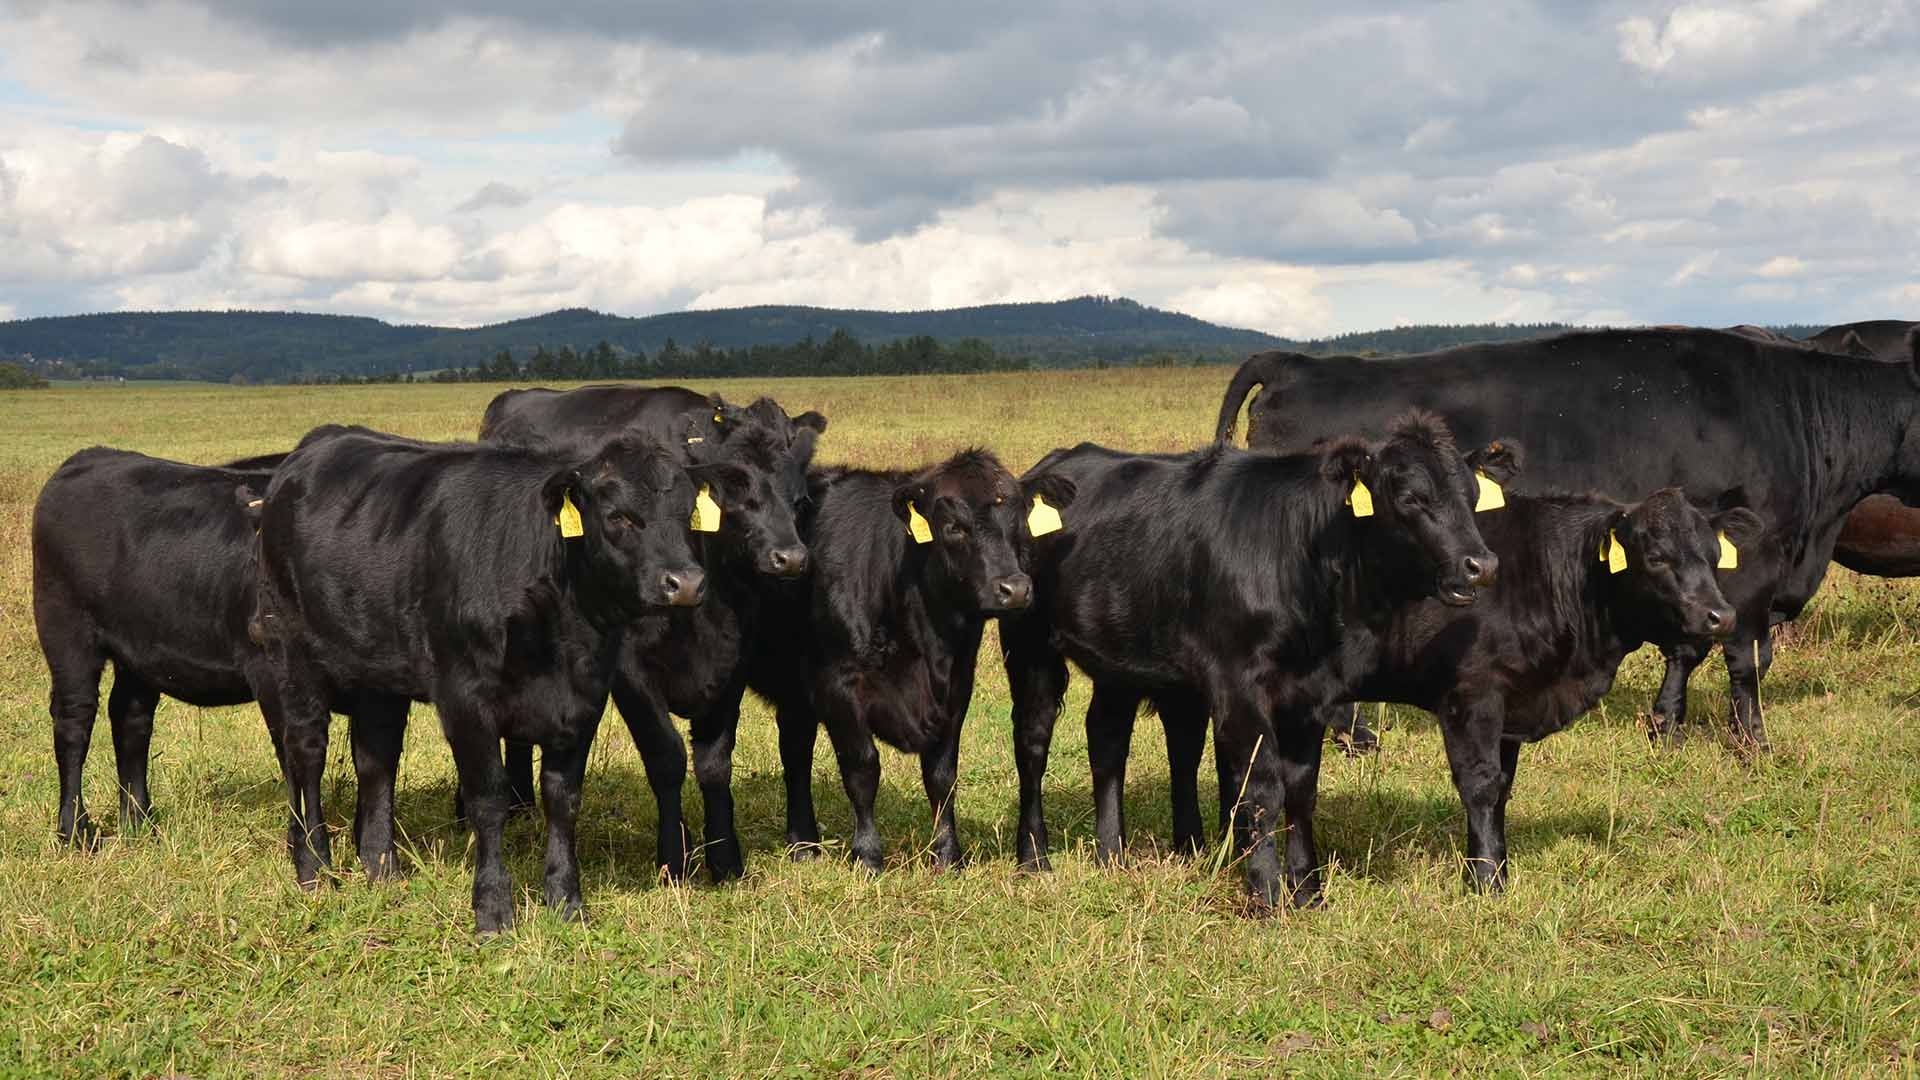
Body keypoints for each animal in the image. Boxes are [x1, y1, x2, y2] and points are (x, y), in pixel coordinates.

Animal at [31, 447, 408, 847]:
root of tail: (90, 456)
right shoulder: (272, 674)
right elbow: (295, 757)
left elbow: (375, 765)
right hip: (66, 633)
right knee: (74, 720)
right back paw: (74, 829)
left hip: (139, 649)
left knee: (130, 717)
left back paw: (139, 822)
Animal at [251, 429, 713, 932]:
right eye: (618, 516)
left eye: (687, 514)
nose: (686, 583)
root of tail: (315, 447)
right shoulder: (465, 699)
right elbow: (489, 799)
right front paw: (492, 909)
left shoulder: (584, 699)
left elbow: (563, 799)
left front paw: (566, 901)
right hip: (291, 653)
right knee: (306, 756)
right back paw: (314, 869)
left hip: (378, 676)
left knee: (376, 760)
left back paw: (382, 868)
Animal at [1000, 412, 1504, 909]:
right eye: (1411, 498)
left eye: (1474, 497)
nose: (1481, 564)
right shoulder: (1240, 684)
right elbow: (1262, 787)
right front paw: (1265, 891)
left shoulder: (1312, 692)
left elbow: (1301, 789)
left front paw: (1308, 889)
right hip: (1030, 649)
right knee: (1032, 744)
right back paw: (1035, 857)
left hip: (1121, 663)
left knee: (1113, 740)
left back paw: (1119, 852)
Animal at [1131, 484, 1765, 892]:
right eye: (1656, 556)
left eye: (1714, 554)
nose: (1720, 616)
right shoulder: (1472, 697)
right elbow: (1479, 786)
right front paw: (1486, 880)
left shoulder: (1513, 705)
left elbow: (1502, 789)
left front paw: (1491, 861)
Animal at [1214, 326, 1920, 750]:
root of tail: (1299, 363)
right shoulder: (1749, 564)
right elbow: (1741, 656)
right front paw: (1752, 744)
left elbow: (1692, 646)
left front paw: (1666, 726)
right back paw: (1353, 735)